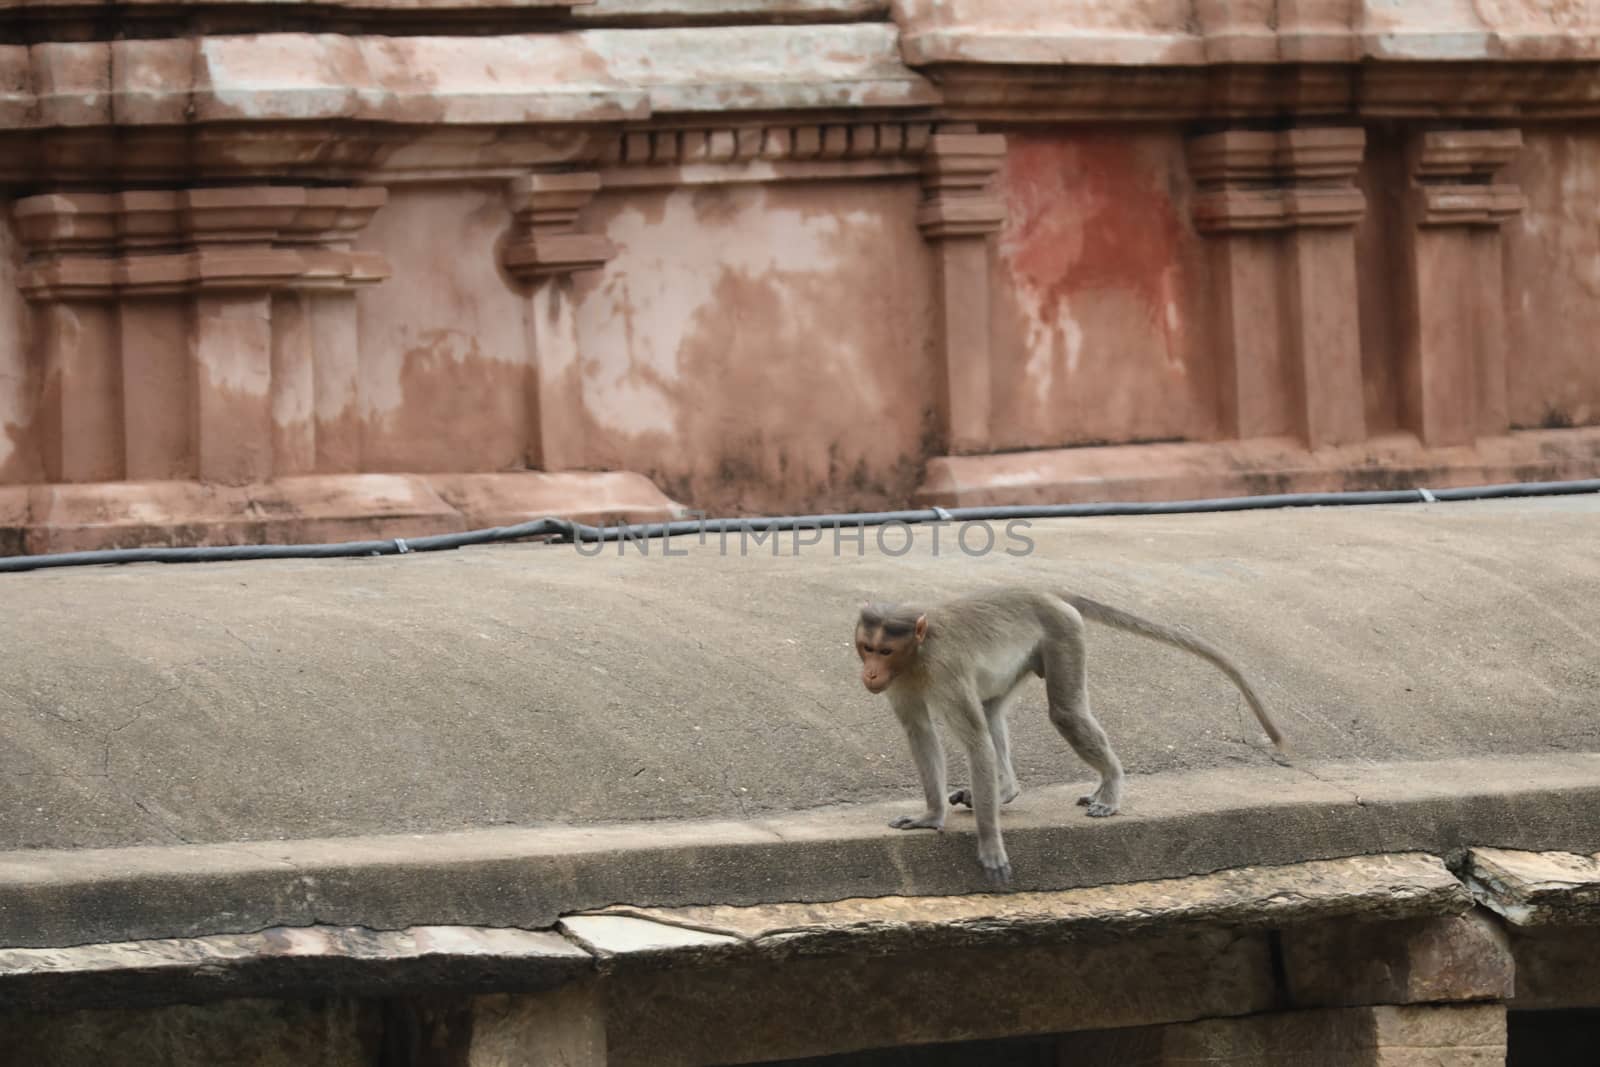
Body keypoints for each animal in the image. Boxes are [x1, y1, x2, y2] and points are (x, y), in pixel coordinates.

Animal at [851, 588, 1286, 889]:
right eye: (866, 648)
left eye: (884, 651)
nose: (869, 673)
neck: (917, 656)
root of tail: (1044, 592)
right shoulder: (902, 682)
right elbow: (921, 733)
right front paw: (930, 815)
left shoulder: (945, 669)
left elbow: (974, 743)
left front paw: (989, 843)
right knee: (992, 709)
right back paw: (1005, 789)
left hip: (1063, 635)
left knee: (1064, 713)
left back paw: (1110, 786)